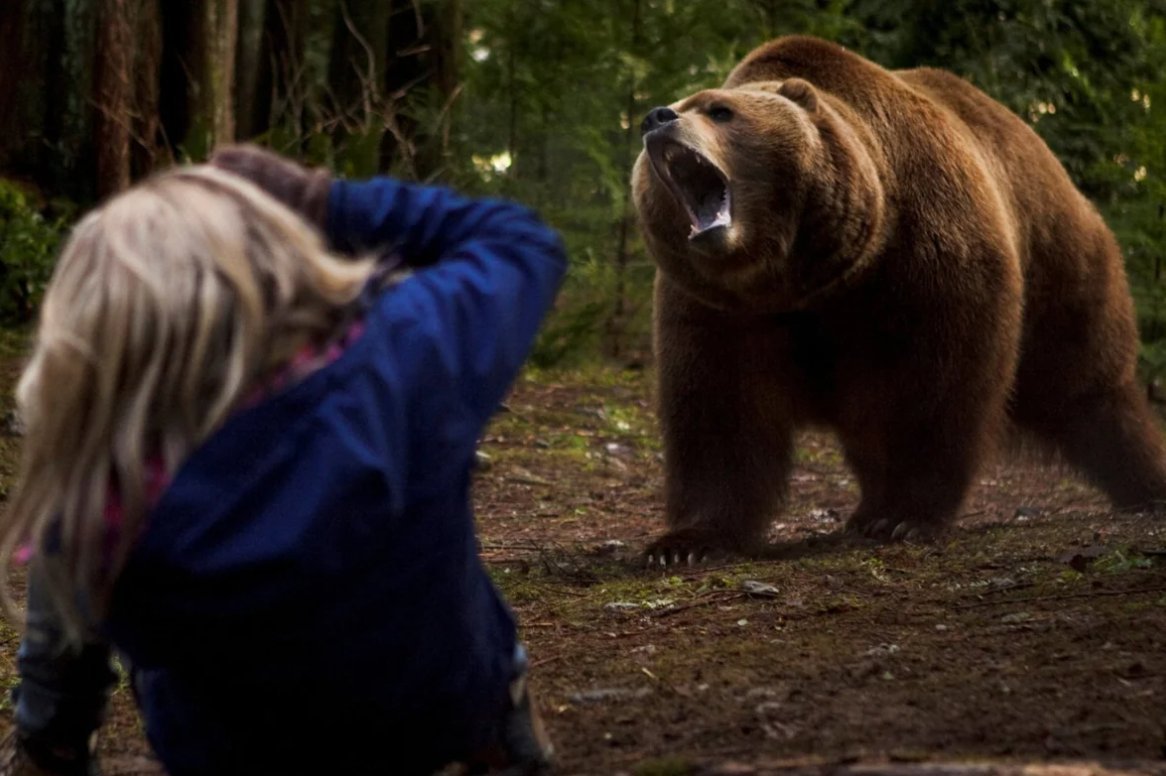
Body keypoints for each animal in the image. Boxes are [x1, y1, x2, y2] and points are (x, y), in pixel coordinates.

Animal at [634, 34, 1166, 561]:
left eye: (720, 110)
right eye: (681, 104)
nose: (656, 118)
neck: (800, 277)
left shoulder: (923, 260)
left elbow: (931, 389)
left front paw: (905, 517)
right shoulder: (719, 310)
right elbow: (720, 414)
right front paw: (686, 542)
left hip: (1059, 265)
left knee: (1090, 388)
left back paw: (1145, 483)